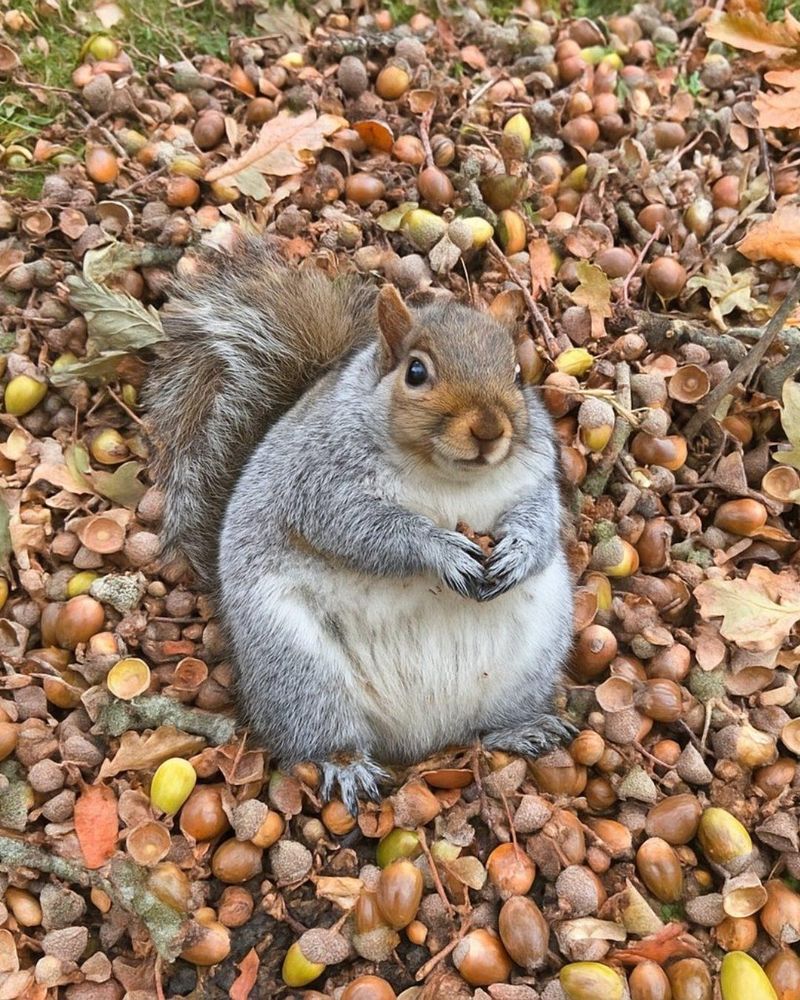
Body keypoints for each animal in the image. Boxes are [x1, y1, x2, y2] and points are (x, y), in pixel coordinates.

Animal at [145, 235, 575, 812]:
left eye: (517, 374)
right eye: (416, 372)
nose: (489, 429)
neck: (447, 480)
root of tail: (422, 735)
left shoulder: (535, 477)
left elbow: (543, 522)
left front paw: (517, 553)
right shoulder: (318, 482)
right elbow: (359, 527)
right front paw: (441, 550)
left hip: (531, 656)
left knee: (486, 726)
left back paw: (522, 729)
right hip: (298, 669)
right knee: (317, 736)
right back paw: (345, 766)